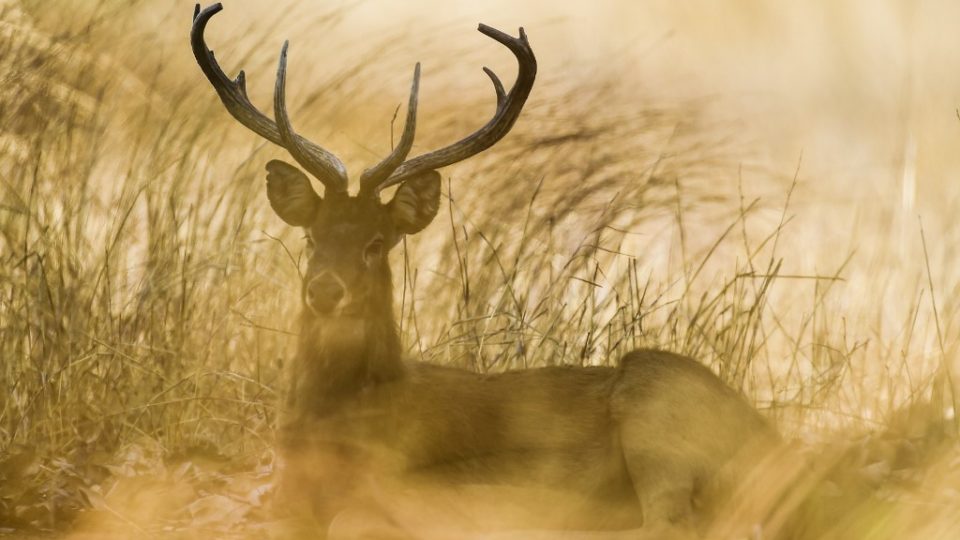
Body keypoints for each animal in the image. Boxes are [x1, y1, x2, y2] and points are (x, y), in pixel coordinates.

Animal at [189, 3, 780, 536]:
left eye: (376, 244)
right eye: (311, 237)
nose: (325, 291)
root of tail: (768, 436)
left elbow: (352, 518)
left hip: (656, 404)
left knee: (671, 523)